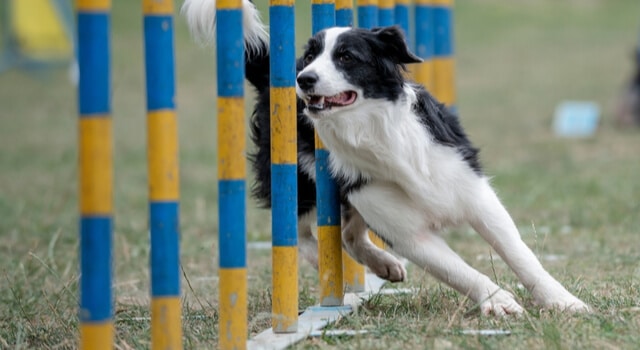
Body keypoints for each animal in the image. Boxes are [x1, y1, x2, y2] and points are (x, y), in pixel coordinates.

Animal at [181, 0, 592, 314]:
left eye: (346, 57)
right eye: (311, 56)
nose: (304, 79)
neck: (374, 130)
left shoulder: (473, 192)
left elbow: (520, 254)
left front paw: (563, 301)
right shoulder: (407, 231)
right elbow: (460, 271)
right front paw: (499, 301)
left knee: (348, 233)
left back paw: (384, 265)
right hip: (302, 180)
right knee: (302, 233)